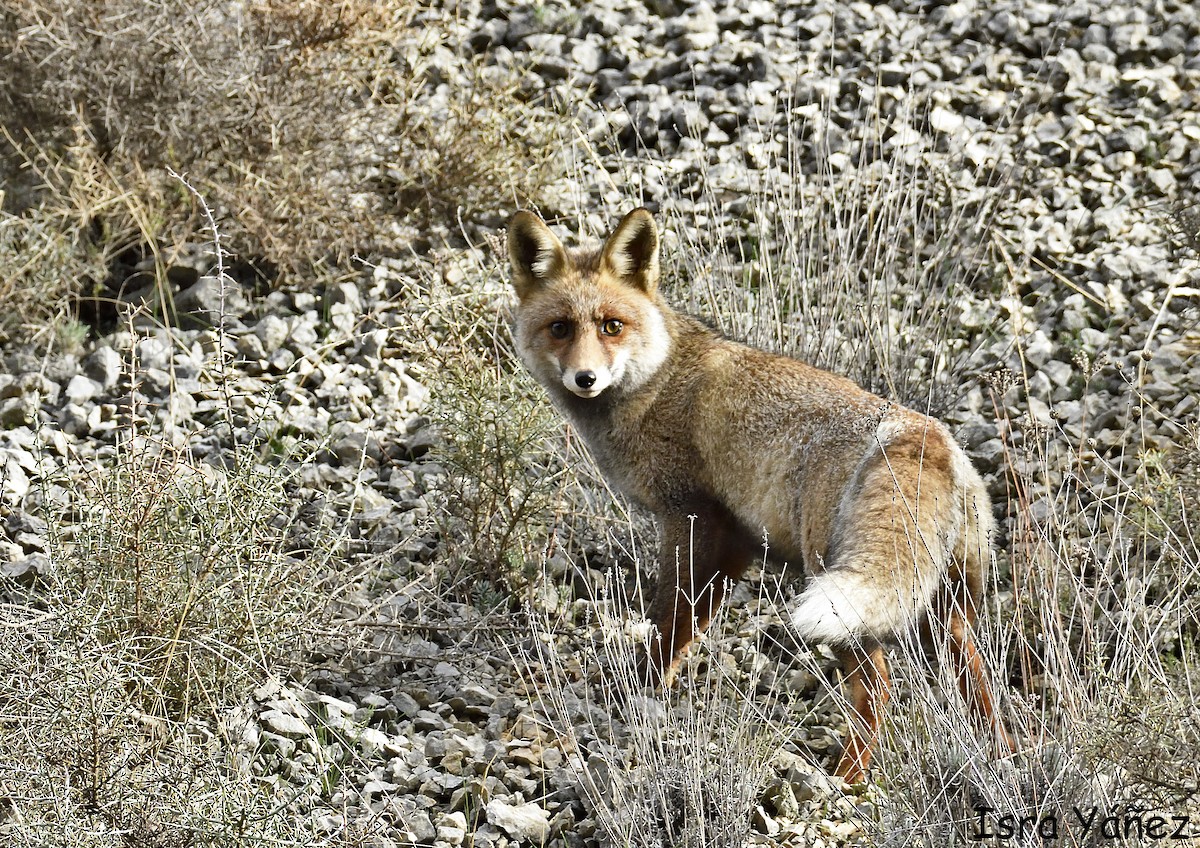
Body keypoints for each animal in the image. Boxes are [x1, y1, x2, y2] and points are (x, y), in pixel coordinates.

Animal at [506, 207, 1014, 783]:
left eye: (612, 326)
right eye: (560, 328)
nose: (585, 377)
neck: (658, 381)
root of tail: (924, 436)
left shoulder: (692, 518)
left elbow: (668, 619)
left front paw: (636, 691)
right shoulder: (737, 543)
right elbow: (687, 626)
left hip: (839, 593)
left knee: (879, 689)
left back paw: (845, 780)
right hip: (941, 607)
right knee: (977, 679)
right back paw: (1003, 759)